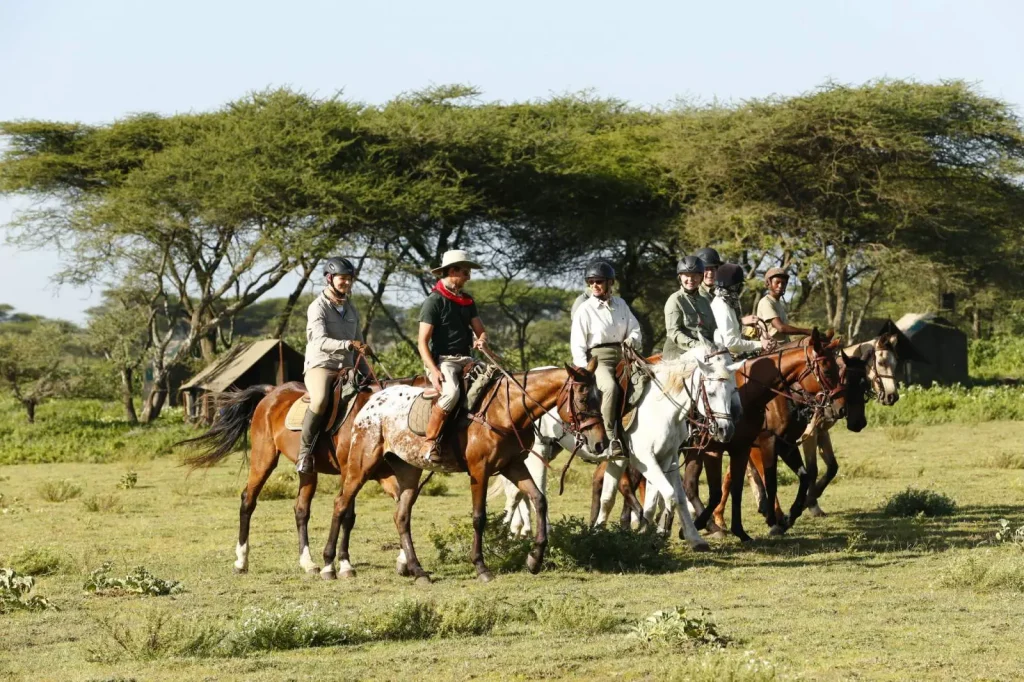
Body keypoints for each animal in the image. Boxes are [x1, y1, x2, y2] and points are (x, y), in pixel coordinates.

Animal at [319, 360, 606, 577]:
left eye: (601, 395)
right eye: (583, 398)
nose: (600, 442)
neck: (505, 409)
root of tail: (369, 400)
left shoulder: (513, 466)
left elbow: (539, 500)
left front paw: (534, 559)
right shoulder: (480, 470)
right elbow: (479, 517)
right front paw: (480, 566)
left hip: (408, 471)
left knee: (401, 515)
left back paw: (417, 570)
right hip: (361, 466)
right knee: (341, 504)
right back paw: (330, 565)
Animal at [493, 348, 741, 548]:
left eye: (732, 389)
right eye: (711, 392)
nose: (725, 430)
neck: (661, 408)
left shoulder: (666, 458)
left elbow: (665, 498)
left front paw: (693, 539)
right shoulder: (645, 459)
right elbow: (667, 495)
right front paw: (651, 533)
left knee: (516, 492)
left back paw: (516, 530)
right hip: (540, 451)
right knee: (535, 491)